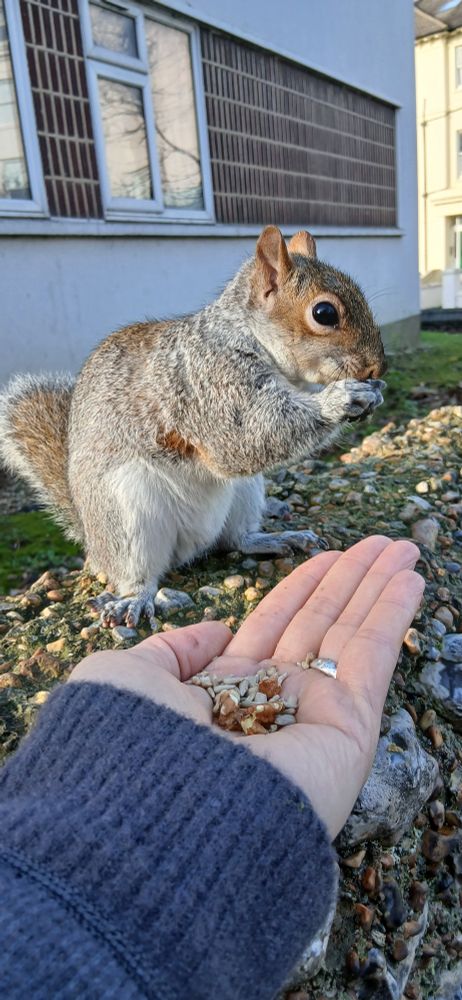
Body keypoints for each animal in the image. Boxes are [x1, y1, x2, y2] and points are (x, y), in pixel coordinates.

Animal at [0, 226, 386, 628]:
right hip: (128, 516)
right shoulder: (210, 384)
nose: (378, 367)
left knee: (234, 540)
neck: (245, 334)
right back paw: (134, 599)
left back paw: (278, 538)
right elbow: (246, 438)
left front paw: (371, 393)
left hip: (244, 493)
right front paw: (341, 398)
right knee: (139, 572)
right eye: (324, 313)